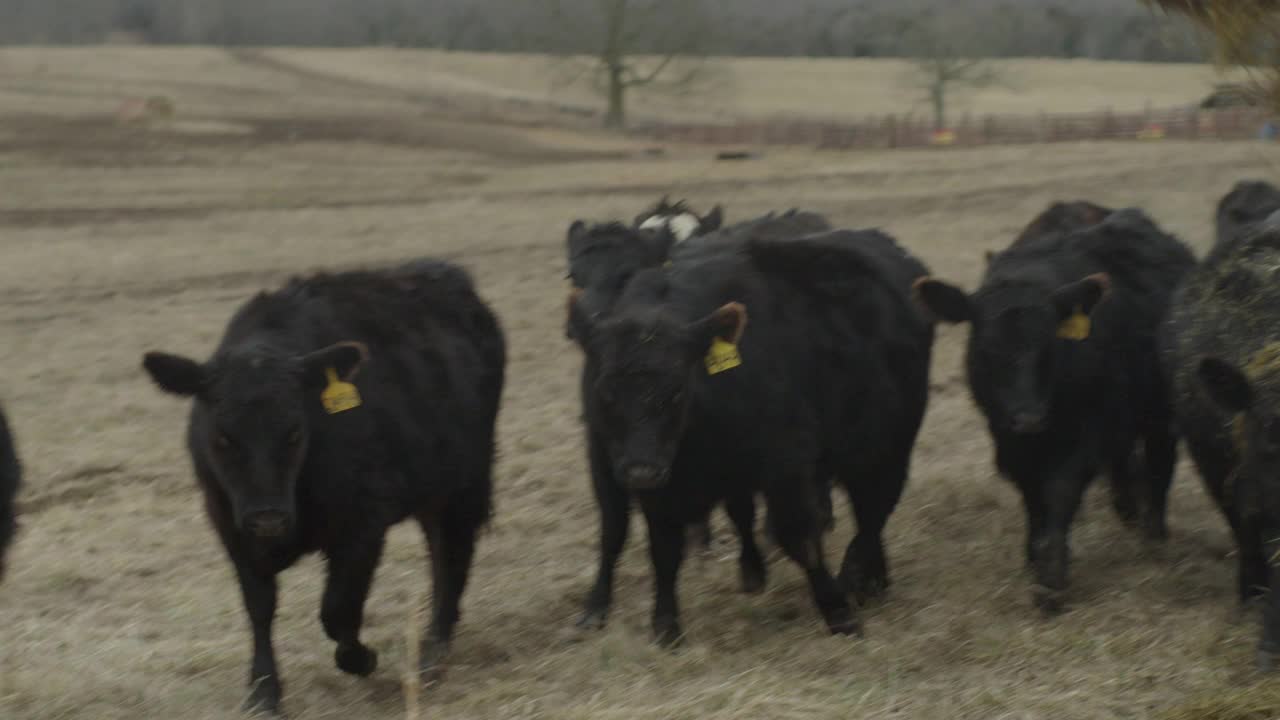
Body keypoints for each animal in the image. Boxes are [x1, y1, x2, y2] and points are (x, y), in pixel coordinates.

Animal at [140, 257, 499, 712]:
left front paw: (361, 659)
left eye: (295, 431)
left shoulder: (363, 524)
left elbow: (337, 609)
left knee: (451, 556)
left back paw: (433, 655)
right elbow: (259, 608)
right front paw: (264, 691)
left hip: (464, 480)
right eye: (222, 437)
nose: (268, 519)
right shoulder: (230, 526)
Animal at [568, 224, 931, 638]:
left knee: (873, 513)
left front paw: (838, 612)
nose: (640, 472)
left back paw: (857, 579)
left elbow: (799, 535)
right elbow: (655, 546)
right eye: (604, 392)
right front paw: (662, 624)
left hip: (889, 445)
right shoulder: (640, 474)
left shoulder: (785, 465)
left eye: (676, 391)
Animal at [916, 206, 1192, 609]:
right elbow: (1033, 498)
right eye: (985, 348)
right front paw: (1034, 557)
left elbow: (1060, 490)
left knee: (1160, 465)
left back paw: (1153, 535)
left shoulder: (1086, 436)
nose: (1030, 418)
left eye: (1050, 344)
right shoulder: (1009, 440)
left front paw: (1051, 575)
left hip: (1160, 412)